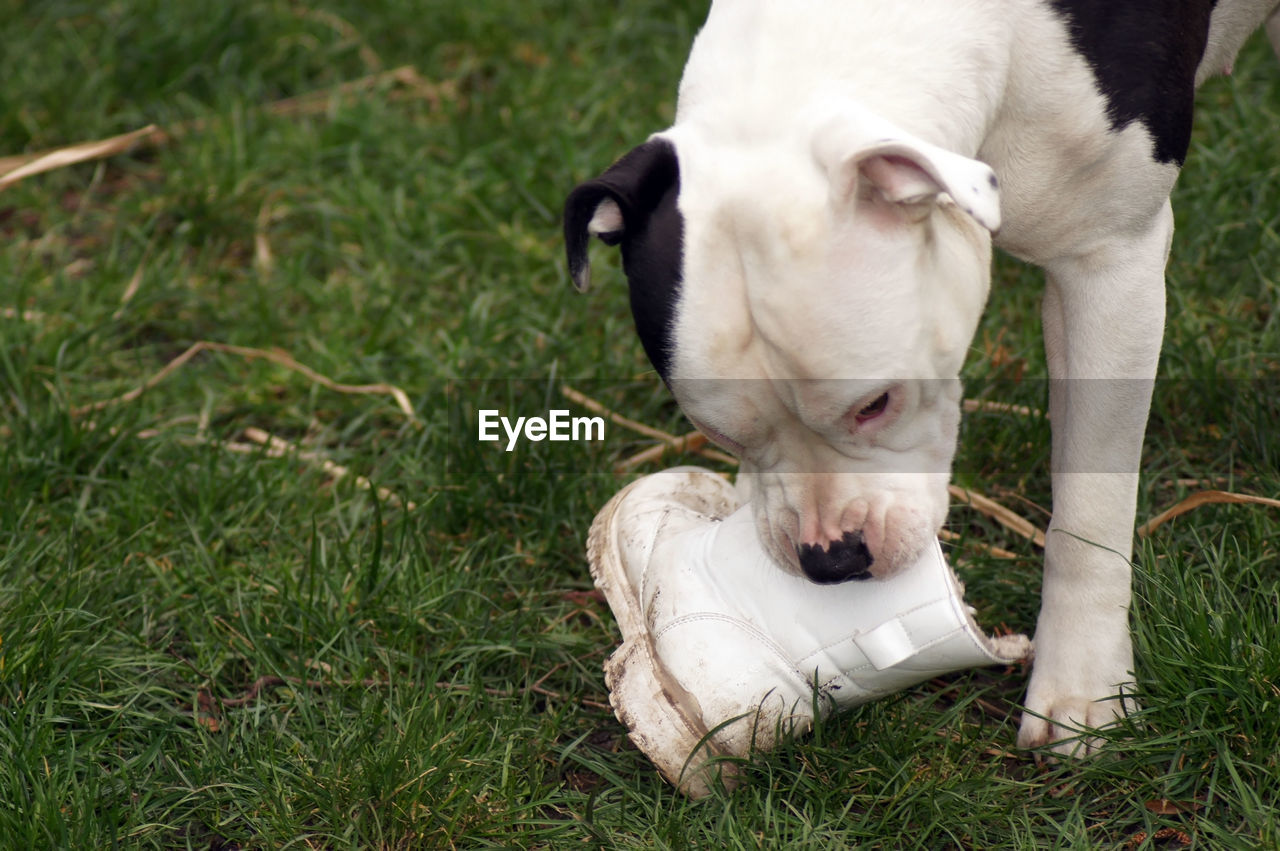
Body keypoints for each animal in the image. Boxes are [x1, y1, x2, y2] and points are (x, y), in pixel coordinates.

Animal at [565, 1, 1280, 757]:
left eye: (876, 404)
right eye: (718, 434)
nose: (832, 560)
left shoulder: (1110, 261)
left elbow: (1090, 508)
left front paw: (1083, 687)